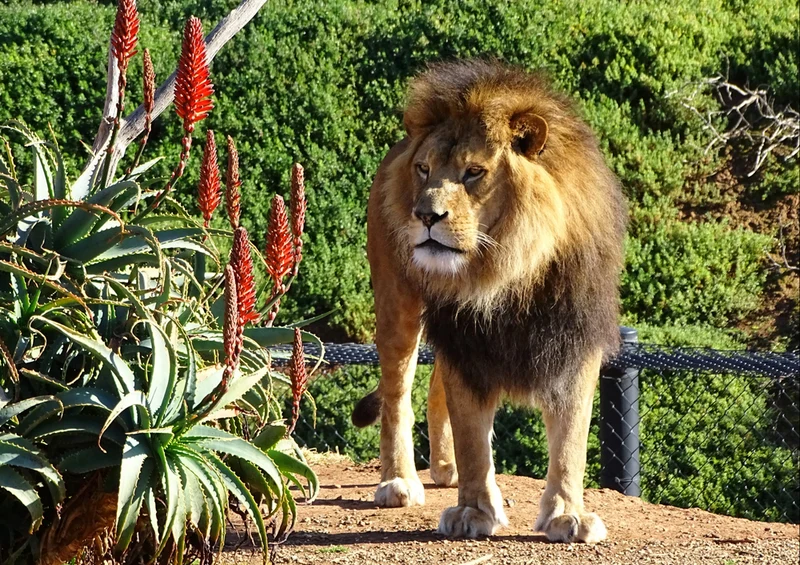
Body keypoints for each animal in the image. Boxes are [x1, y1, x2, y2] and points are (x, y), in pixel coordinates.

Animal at [352, 60, 626, 543]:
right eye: (424, 169)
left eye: (473, 173)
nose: (425, 215)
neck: (507, 271)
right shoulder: (465, 342)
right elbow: (472, 438)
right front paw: (474, 512)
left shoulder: (574, 339)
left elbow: (571, 438)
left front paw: (567, 515)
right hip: (396, 304)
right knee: (397, 393)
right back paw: (399, 481)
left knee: (432, 385)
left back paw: (445, 468)